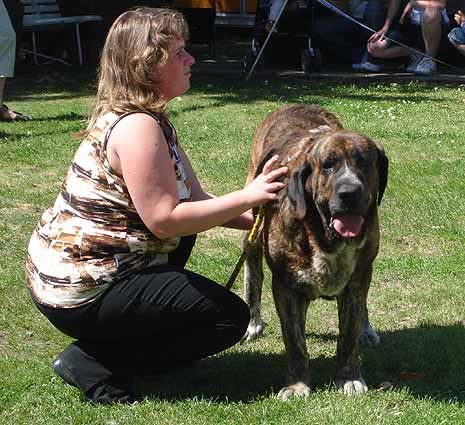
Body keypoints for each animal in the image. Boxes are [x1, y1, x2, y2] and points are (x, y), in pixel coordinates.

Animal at [241, 102, 386, 398]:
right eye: (328, 165)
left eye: (364, 162)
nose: (349, 192)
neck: (324, 237)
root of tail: (296, 104)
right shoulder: (285, 287)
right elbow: (295, 341)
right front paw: (296, 384)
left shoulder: (357, 279)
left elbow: (348, 334)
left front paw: (349, 377)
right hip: (252, 220)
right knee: (253, 271)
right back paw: (253, 321)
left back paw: (366, 330)